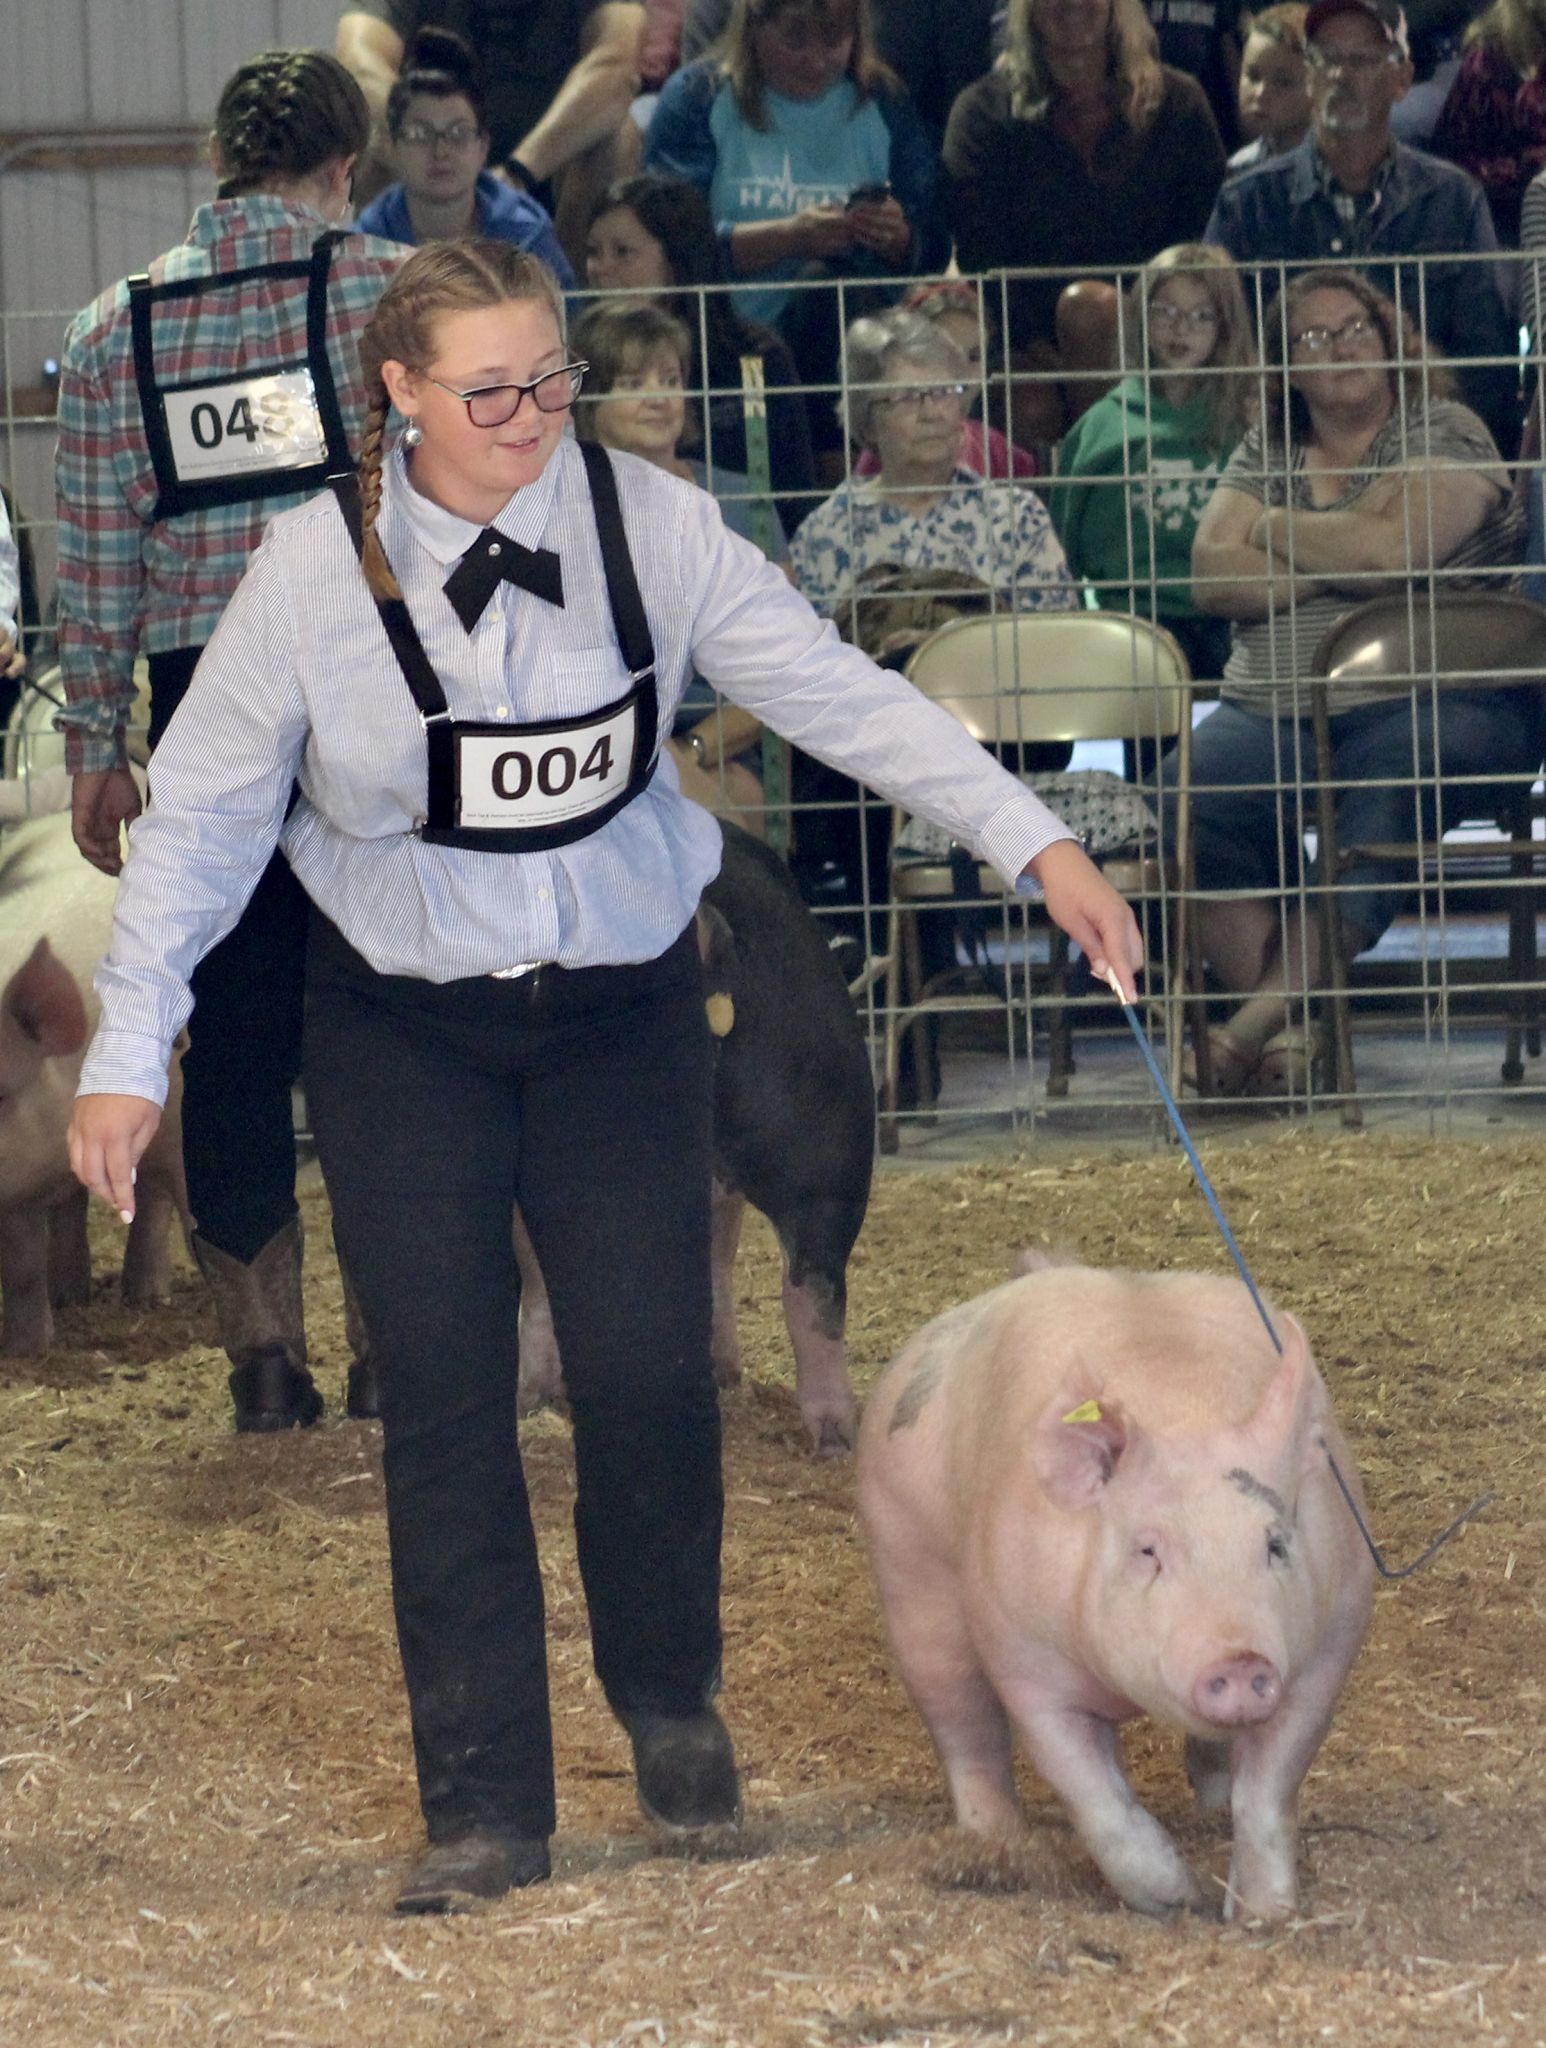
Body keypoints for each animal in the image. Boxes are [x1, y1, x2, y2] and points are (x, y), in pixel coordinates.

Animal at [860, 1253, 1376, 1925]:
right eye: (1148, 1550)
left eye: (1276, 1545)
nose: (1239, 1659)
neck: (1184, 1408)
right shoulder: (1027, 1660)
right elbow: (1092, 1794)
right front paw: (1175, 1899)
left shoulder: (1329, 1647)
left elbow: (1267, 1791)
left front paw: (1263, 1915)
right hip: (910, 1573)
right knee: (964, 1726)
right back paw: (996, 1838)